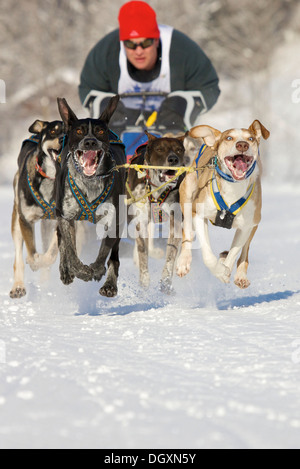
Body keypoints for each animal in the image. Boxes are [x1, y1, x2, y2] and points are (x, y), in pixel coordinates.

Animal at [55, 94, 126, 296]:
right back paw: (65, 269)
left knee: (114, 257)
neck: (90, 181)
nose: (90, 142)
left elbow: (104, 251)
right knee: (61, 241)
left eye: (100, 131)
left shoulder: (114, 220)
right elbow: (70, 250)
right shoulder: (65, 216)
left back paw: (109, 284)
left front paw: (96, 269)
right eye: (79, 131)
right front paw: (80, 270)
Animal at [177, 119, 270, 288]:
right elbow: (207, 254)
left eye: (250, 139)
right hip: (187, 194)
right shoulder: (199, 215)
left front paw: (224, 267)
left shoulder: (247, 225)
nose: (242, 145)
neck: (233, 188)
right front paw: (220, 271)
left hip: (255, 222)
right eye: (228, 138)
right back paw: (183, 261)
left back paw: (240, 274)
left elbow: (234, 252)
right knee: (187, 232)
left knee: (244, 252)